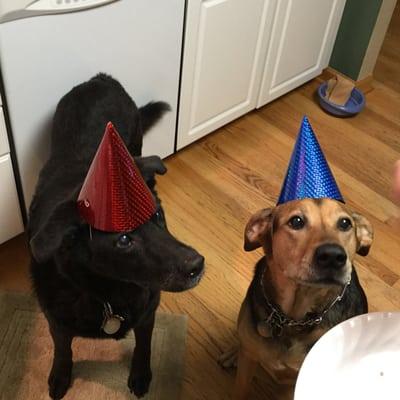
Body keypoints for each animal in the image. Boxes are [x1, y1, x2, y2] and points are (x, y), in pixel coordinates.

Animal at [28, 73, 205, 398]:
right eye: (124, 240)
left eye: (158, 216)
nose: (197, 265)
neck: (108, 293)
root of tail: (100, 78)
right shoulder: (56, 320)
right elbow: (62, 349)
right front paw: (60, 376)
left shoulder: (148, 312)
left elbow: (144, 346)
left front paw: (141, 375)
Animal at [220, 198, 370, 398]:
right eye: (296, 221)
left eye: (345, 223)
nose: (333, 256)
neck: (293, 318)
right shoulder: (246, 366)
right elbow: (240, 389)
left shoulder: (294, 383)